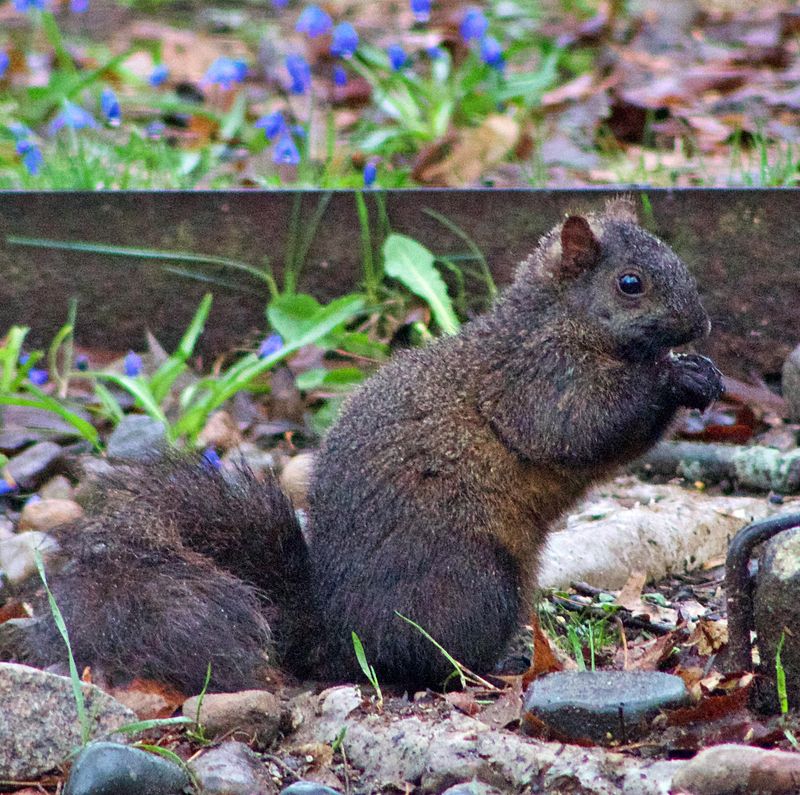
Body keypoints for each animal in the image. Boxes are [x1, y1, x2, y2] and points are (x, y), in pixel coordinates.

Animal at [6, 197, 722, 694]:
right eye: (631, 283)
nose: (702, 325)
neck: (564, 322)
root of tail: (337, 633)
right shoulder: (538, 381)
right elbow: (578, 426)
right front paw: (675, 376)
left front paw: (701, 372)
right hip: (472, 582)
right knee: (421, 661)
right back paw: (492, 669)